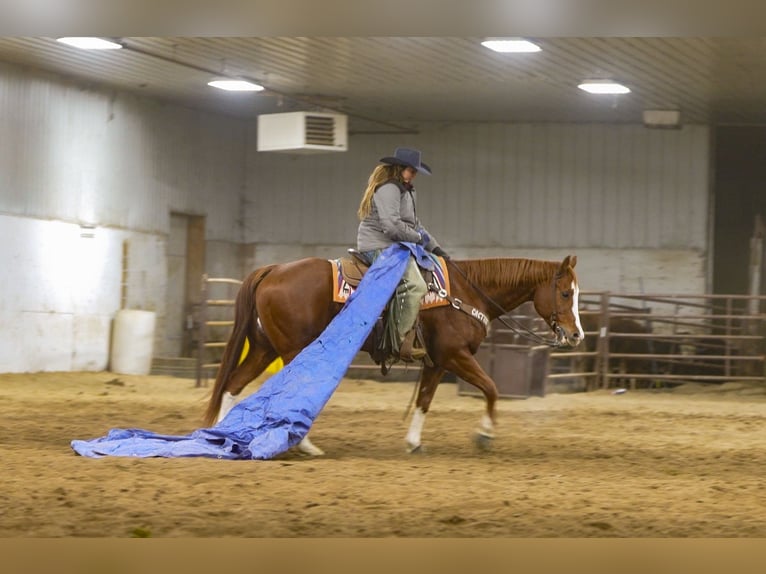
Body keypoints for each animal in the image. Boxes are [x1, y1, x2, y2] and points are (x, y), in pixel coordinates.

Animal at [201, 254, 584, 456]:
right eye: (566, 293)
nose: (577, 334)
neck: (466, 293)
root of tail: (272, 270)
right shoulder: (456, 356)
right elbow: (491, 388)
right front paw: (485, 435)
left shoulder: (437, 362)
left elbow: (424, 401)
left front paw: (414, 442)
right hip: (293, 350)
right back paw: (306, 446)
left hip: (264, 348)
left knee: (232, 385)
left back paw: (221, 438)